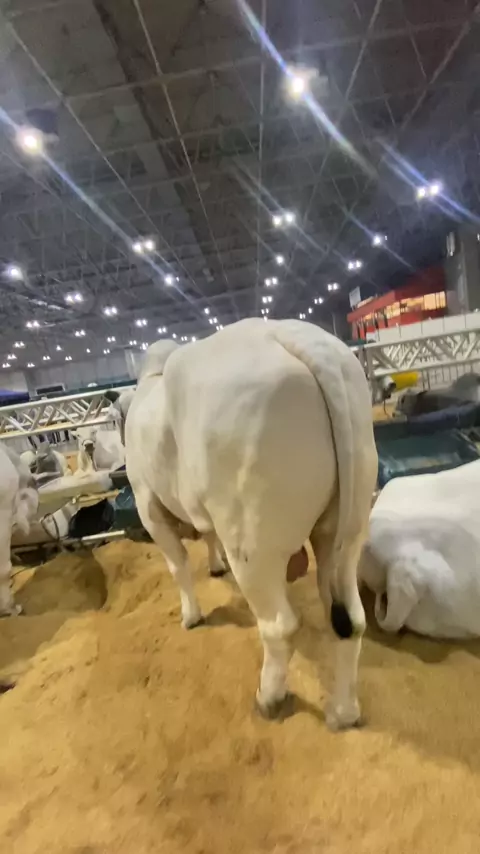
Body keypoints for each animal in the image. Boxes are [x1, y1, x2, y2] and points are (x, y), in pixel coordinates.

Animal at [122, 319, 378, 729]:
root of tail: (294, 336)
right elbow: (206, 537)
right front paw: (214, 567)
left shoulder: (148, 505)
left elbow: (178, 565)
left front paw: (190, 615)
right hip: (346, 529)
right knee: (349, 620)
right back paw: (343, 713)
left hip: (251, 540)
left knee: (279, 626)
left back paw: (268, 697)